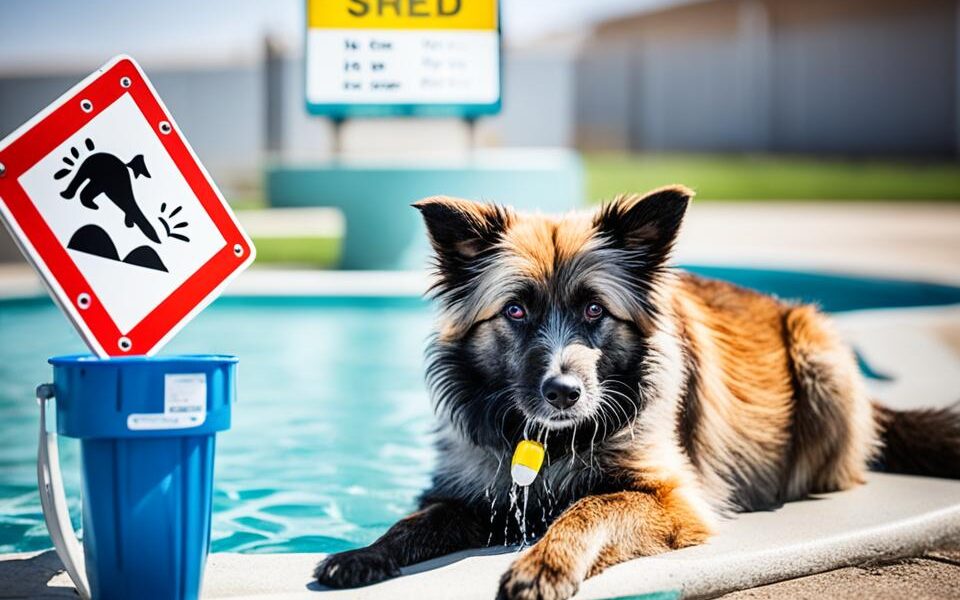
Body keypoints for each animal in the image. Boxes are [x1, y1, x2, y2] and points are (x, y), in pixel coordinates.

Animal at [316, 188, 960, 600]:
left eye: (595, 310)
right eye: (516, 310)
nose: (563, 392)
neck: (552, 443)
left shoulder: (669, 497)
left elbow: (586, 508)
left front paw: (544, 564)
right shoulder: (474, 495)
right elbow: (413, 523)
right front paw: (363, 554)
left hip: (815, 352)